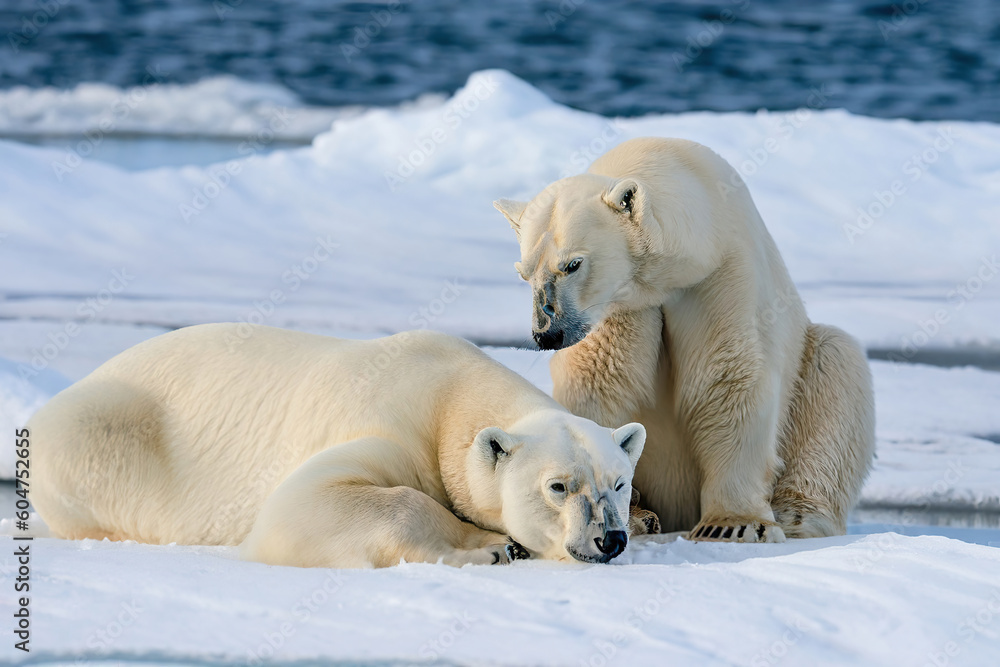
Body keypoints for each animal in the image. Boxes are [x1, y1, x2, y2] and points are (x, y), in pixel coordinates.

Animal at [31, 324, 648, 568]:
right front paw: (487, 546)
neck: (449, 395)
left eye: (618, 481)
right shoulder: (388, 426)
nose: (609, 538)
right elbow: (305, 505)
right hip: (102, 429)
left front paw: (644, 518)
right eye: (558, 486)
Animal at [496, 136, 880, 544]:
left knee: (837, 368)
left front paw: (732, 524)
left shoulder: (719, 274)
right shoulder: (623, 307)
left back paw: (798, 517)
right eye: (523, 272)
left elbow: (730, 378)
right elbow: (598, 385)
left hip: (813, 369)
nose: (547, 334)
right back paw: (643, 516)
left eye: (573, 264)